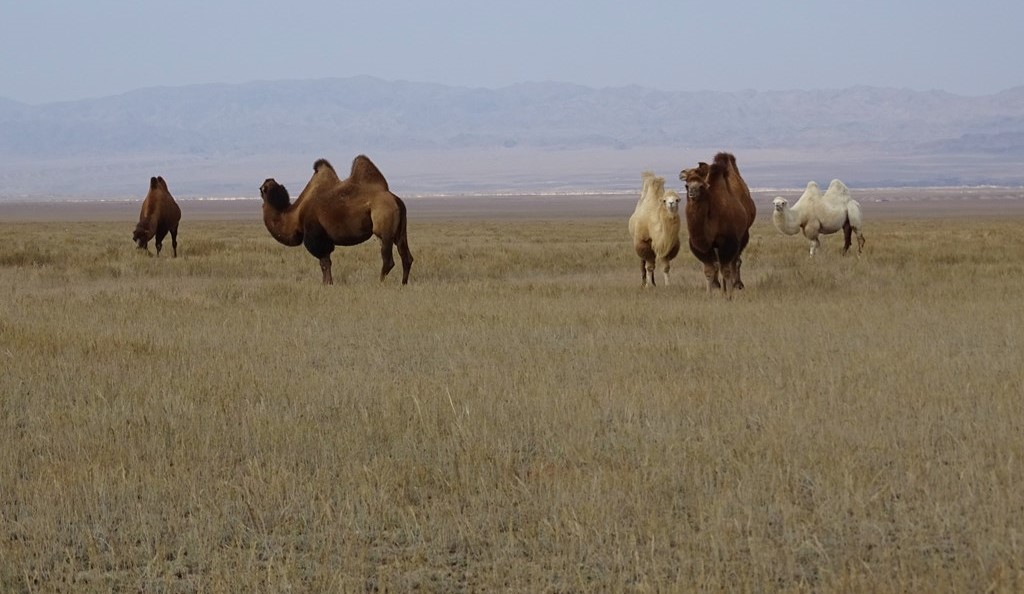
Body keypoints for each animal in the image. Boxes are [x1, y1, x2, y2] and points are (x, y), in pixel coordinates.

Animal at [260, 155, 411, 284]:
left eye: (261, 188)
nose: (265, 183)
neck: (295, 216)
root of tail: (395, 199)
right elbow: (326, 262)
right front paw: (327, 283)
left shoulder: (316, 235)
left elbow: (324, 263)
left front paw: (327, 283)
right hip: (400, 230)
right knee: (406, 256)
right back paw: (403, 284)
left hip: (384, 227)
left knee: (388, 260)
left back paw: (379, 283)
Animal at [684, 151, 757, 297]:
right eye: (687, 185)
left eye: (701, 186)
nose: (692, 192)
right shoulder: (704, 247)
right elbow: (709, 270)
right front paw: (710, 292)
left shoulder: (728, 241)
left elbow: (726, 267)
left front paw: (728, 294)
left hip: (743, 234)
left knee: (735, 261)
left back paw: (736, 284)